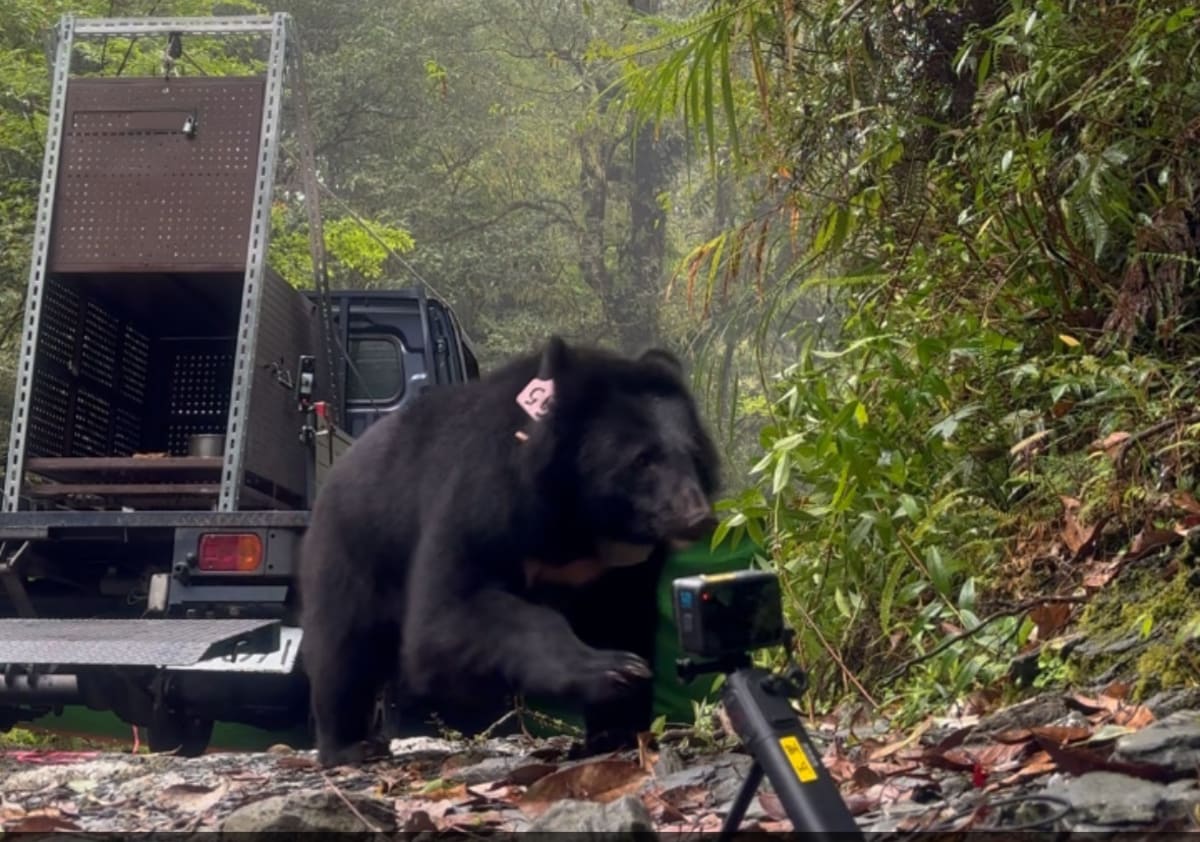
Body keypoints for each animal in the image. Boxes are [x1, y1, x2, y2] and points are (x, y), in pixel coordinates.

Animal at [296, 335, 721, 767]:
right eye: (642, 460)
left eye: (693, 456)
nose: (698, 517)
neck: (584, 520)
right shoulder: (484, 498)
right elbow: (448, 616)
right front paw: (610, 669)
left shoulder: (620, 567)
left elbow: (622, 618)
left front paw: (614, 726)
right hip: (355, 547)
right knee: (344, 646)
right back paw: (351, 746)